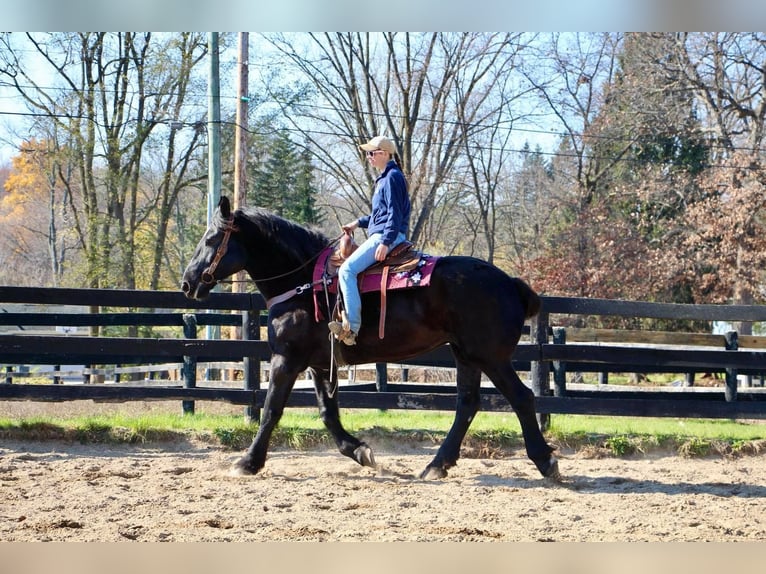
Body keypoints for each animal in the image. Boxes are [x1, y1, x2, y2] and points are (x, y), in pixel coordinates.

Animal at [183, 198, 560, 482]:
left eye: (212, 239)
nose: (188, 282)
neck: (303, 282)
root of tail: (510, 283)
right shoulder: (320, 365)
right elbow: (328, 414)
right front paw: (360, 451)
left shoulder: (286, 360)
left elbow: (271, 409)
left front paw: (248, 462)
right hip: (466, 356)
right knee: (467, 405)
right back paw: (436, 465)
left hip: (490, 358)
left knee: (522, 398)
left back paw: (545, 461)